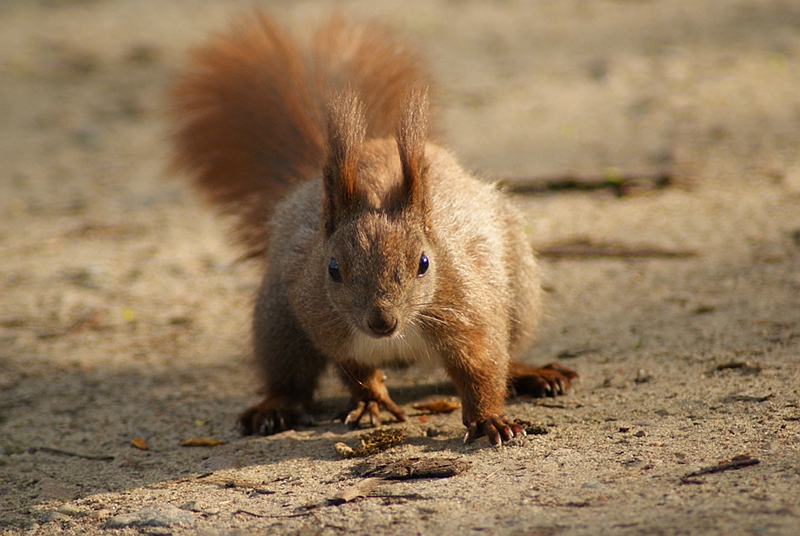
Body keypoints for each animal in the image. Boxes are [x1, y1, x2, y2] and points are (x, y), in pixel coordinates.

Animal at [172, 13, 580, 448]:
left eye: (424, 263)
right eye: (333, 269)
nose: (381, 322)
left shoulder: (470, 312)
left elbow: (482, 368)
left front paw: (489, 420)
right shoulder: (326, 324)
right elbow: (354, 371)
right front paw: (371, 402)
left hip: (520, 292)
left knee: (509, 349)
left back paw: (532, 373)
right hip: (277, 319)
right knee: (289, 377)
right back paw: (274, 407)